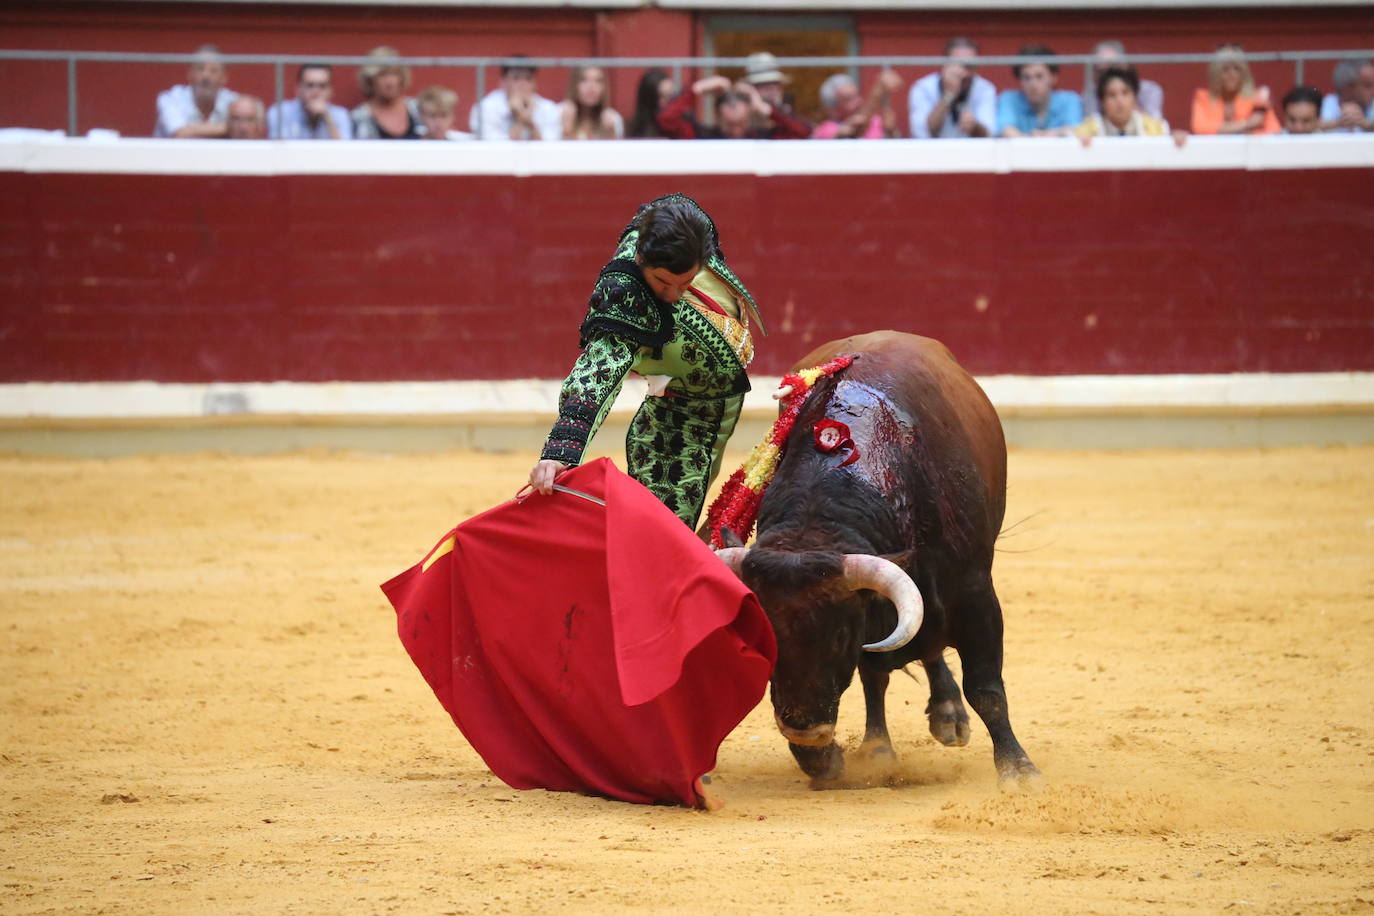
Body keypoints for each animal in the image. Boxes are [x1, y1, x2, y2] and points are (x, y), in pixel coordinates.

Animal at [719, 333, 1038, 791]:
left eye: (838, 636)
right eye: (764, 638)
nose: (804, 730)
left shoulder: (975, 594)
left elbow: (986, 687)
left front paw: (1018, 769)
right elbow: (874, 674)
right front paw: (857, 754)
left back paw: (949, 716)